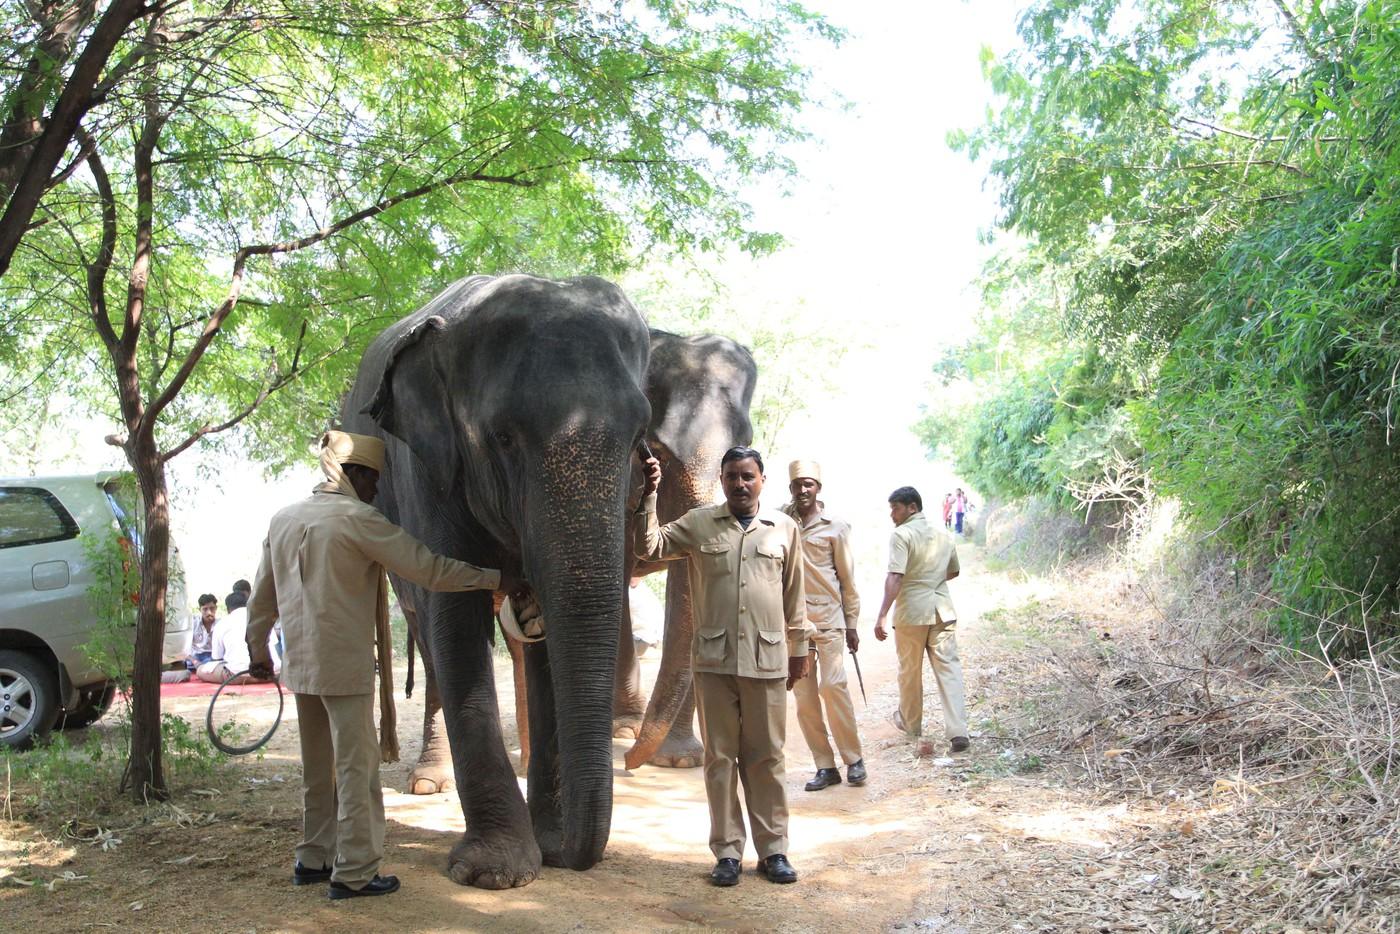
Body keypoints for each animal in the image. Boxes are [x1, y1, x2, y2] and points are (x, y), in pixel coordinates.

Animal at [338, 271, 649, 890]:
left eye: (638, 439)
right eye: (503, 438)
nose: (573, 853)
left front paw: (550, 847)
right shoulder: (425, 469)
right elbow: (454, 618)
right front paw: (495, 873)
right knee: (427, 633)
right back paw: (427, 783)